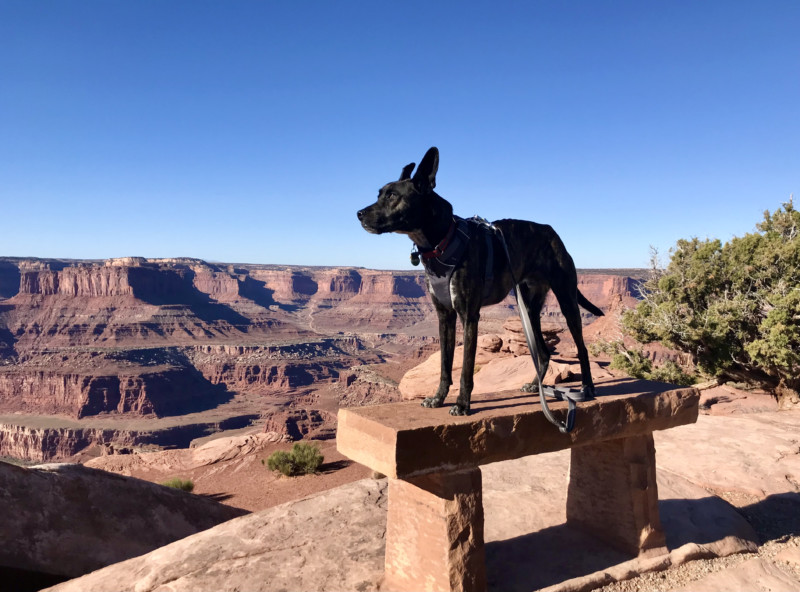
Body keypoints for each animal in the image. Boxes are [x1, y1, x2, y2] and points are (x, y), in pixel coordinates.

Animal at [356, 147, 600, 416]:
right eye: (379, 193)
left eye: (392, 196)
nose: (359, 214)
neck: (441, 241)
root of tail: (551, 231)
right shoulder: (445, 316)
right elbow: (445, 366)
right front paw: (438, 398)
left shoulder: (469, 316)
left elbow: (465, 368)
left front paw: (462, 404)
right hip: (529, 307)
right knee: (544, 353)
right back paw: (535, 386)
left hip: (566, 299)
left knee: (582, 347)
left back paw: (587, 388)